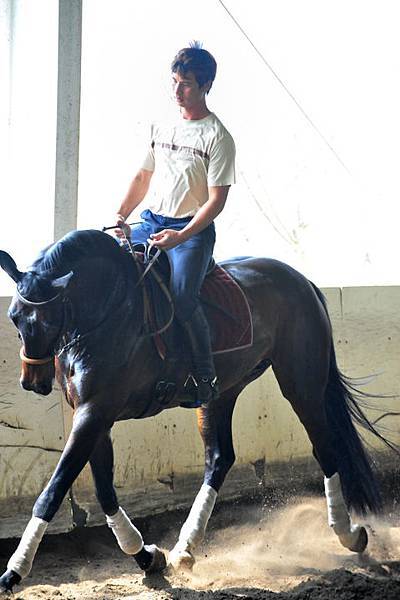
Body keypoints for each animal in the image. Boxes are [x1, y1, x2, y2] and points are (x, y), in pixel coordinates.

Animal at [0, 228, 391, 594]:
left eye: (46, 320)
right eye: (15, 318)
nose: (31, 382)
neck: (109, 310)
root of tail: (300, 280)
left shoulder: (94, 413)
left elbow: (53, 491)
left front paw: (14, 572)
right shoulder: (93, 416)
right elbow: (105, 492)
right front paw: (147, 557)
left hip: (302, 384)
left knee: (325, 449)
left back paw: (349, 534)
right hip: (222, 392)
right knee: (219, 458)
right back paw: (185, 548)